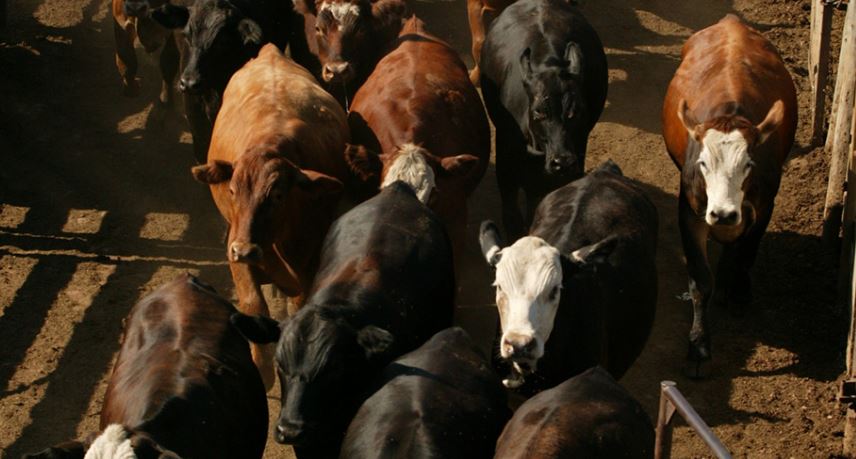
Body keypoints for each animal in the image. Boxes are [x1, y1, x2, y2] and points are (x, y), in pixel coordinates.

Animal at [190, 43, 350, 391]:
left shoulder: (309, 261)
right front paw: (260, 368)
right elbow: (253, 303)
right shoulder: (235, 246)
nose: (246, 250)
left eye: (277, 195)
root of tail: (271, 52)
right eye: (232, 190)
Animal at [661, 15, 797, 377]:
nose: (722, 214)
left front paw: (736, 290)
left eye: (749, 163)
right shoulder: (691, 211)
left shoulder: (763, 206)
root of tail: (731, 21)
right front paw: (698, 345)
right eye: (703, 163)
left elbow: (745, 252)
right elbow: (699, 281)